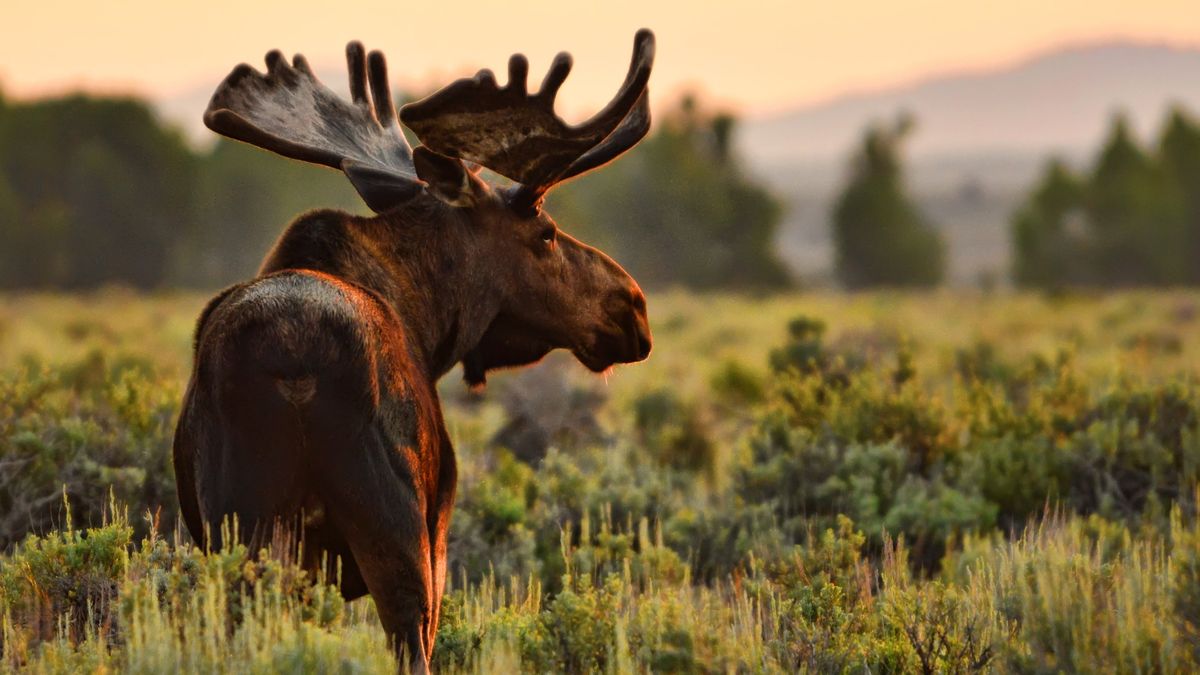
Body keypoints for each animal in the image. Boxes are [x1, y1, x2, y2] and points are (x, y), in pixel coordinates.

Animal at [171, 30, 657, 667]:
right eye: (546, 233)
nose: (633, 307)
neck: (429, 325)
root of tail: (294, 368)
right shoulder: (440, 524)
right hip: (395, 528)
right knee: (411, 641)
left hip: (239, 526)